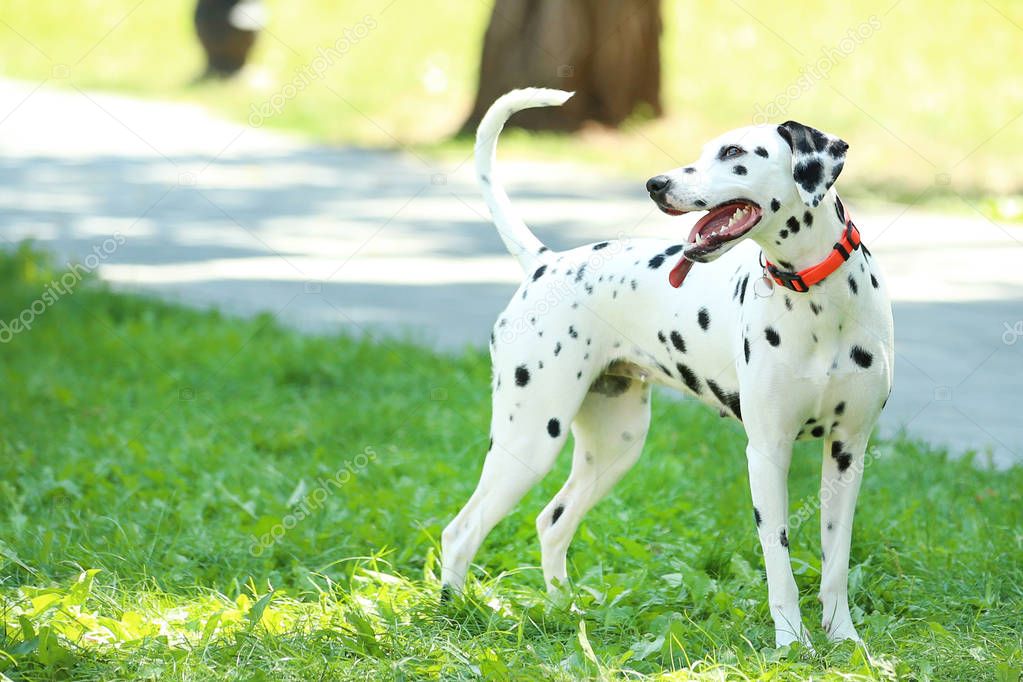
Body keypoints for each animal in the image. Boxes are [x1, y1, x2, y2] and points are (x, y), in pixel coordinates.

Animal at [443, 87, 892, 650]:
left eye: (733, 153)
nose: (656, 184)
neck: (818, 304)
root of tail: (548, 262)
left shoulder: (847, 451)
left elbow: (835, 562)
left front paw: (845, 641)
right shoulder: (767, 454)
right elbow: (780, 564)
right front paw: (792, 643)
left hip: (615, 447)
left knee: (552, 521)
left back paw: (565, 611)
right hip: (528, 442)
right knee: (460, 532)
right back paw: (453, 617)